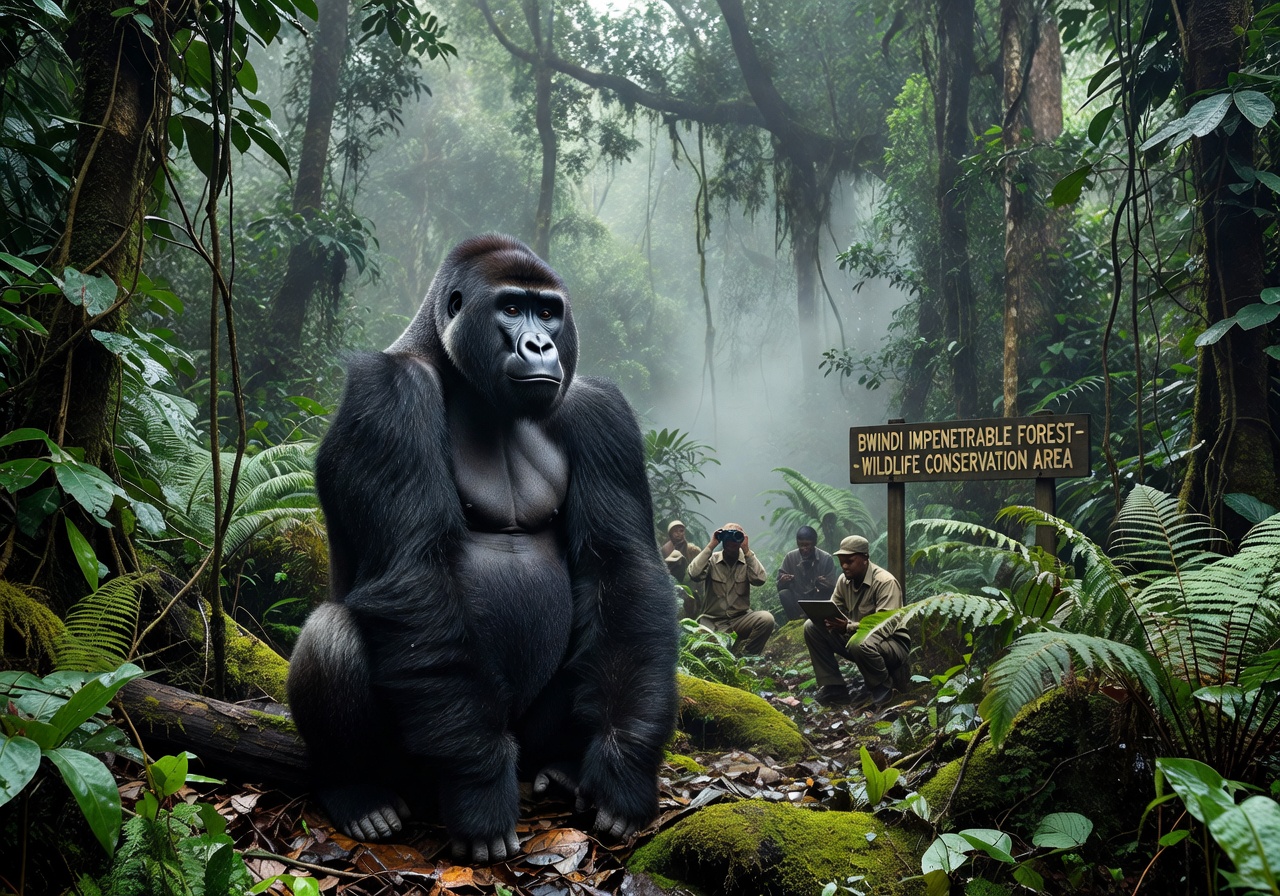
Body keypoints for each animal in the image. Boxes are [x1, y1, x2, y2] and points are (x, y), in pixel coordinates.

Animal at [286, 234, 678, 864]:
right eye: (511, 308)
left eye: (549, 312)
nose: (540, 344)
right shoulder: (391, 393)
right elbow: (415, 572)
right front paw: (478, 788)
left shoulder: (599, 409)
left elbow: (622, 570)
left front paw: (623, 771)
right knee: (332, 632)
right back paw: (356, 787)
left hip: (530, 738)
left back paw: (564, 766)